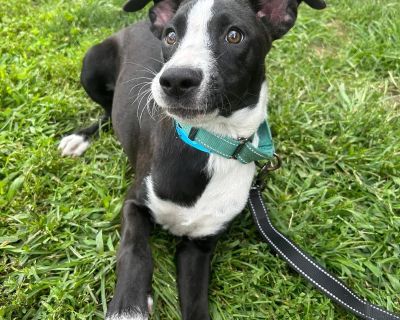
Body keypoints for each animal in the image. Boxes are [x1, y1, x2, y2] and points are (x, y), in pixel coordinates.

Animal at [59, 1, 324, 318]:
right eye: (171, 36)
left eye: (234, 35)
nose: (175, 80)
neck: (212, 142)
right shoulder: (134, 203)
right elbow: (135, 251)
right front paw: (129, 306)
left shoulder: (199, 245)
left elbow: (196, 303)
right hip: (91, 64)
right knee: (107, 111)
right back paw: (79, 138)